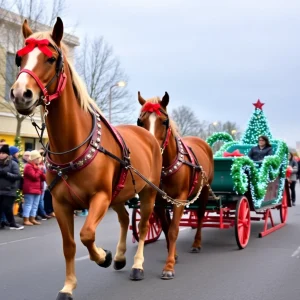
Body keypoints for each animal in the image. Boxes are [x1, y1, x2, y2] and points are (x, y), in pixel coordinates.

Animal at [10, 17, 163, 298]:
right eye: (18, 58)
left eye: (51, 59)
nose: (20, 94)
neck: (73, 148)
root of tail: (148, 136)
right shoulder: (61, 203)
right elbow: (70, 244)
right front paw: (69, 285)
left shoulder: (99, 197)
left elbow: (87, 234)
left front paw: (102, 256)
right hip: (119, 194)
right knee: (124, 219)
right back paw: (121, 257)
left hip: (148, 192)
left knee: (144, 225)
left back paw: (137, 265)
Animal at [137, 92, 214, 280]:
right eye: (140, 122)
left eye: (164, 121)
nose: (151, 148)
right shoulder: (158, 201)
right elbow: (166, 227)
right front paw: (174, 255)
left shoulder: (180, 199)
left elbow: (173, 230)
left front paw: (169, 266)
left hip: (204, 191)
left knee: (200, 216)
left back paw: (197, 243)